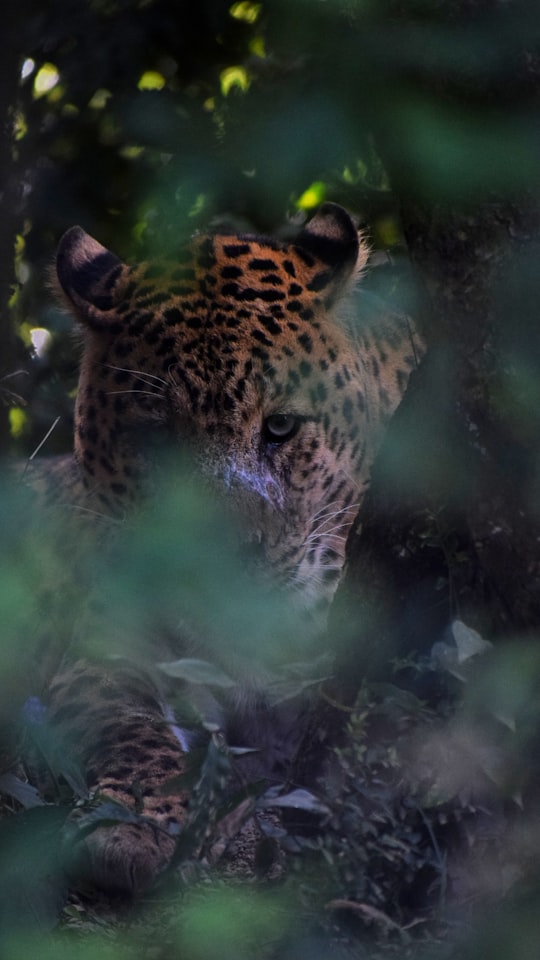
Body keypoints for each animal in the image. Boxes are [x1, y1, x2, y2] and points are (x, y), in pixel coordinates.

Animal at [20, 201, 422, 892]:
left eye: (280, 426)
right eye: (157, 436)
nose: (224, 562)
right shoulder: (105, 644)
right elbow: (125, 723)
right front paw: (137, 823)